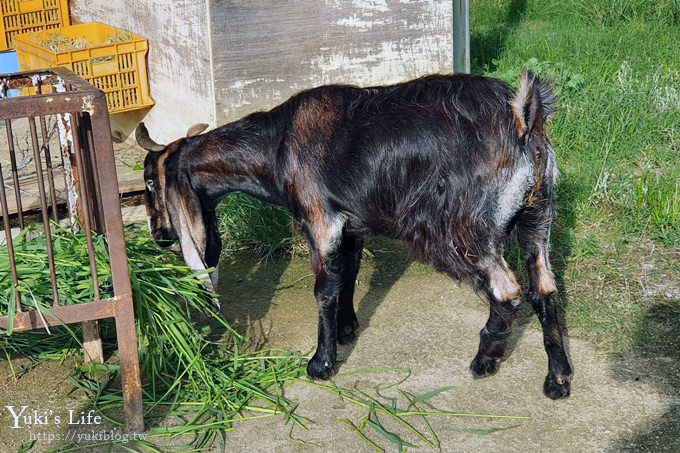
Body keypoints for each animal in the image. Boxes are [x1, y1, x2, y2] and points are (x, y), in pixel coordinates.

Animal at [138, 70, 572, 396]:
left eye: (149, 182)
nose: (160, 235)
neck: (276, 144)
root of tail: (523, 118)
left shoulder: (320, 220)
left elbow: (324, 290)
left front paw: (320, 363)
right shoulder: (352, 227)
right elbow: (347, 275)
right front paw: (347, 329)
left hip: (468, 228)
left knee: (507, 291)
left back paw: (486, 358)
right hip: (538, 217)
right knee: (544, 287)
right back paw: (558, 378)